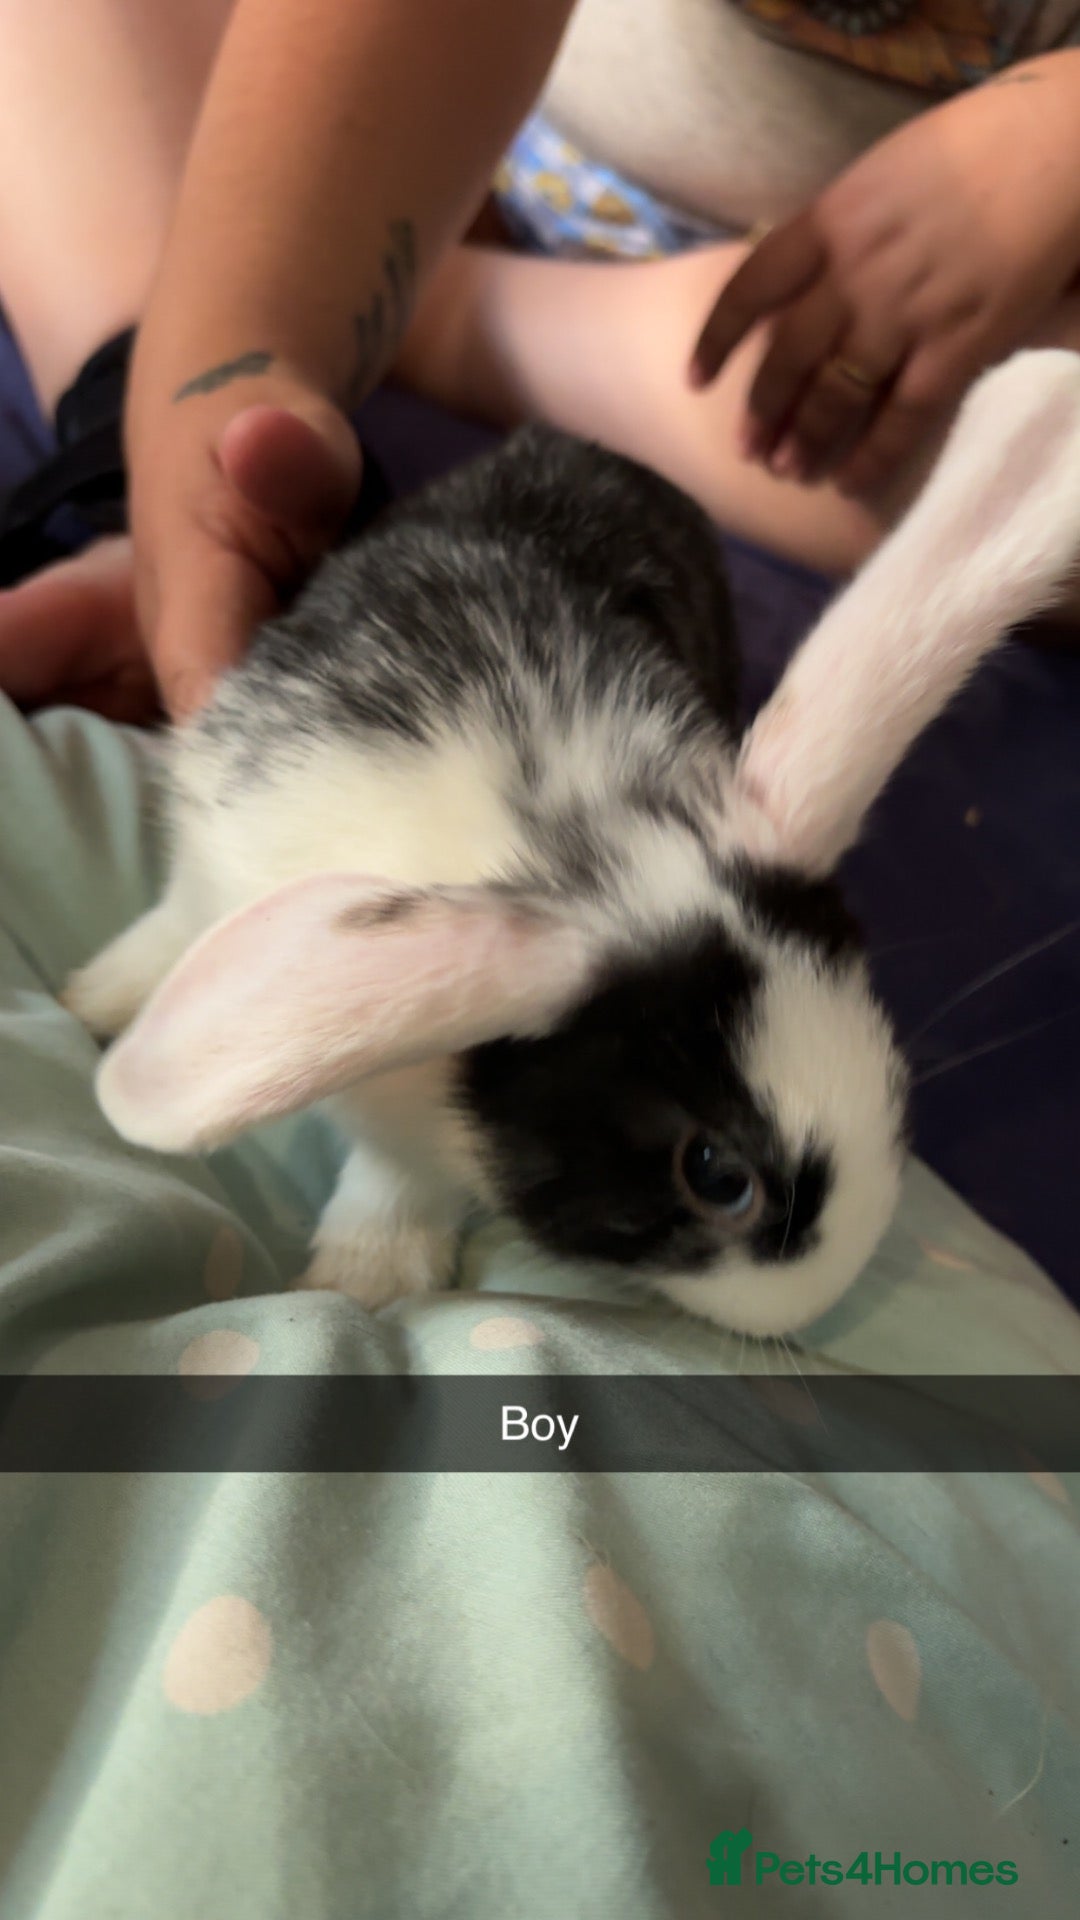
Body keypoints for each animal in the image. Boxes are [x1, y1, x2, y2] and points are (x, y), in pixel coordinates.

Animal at [63, 347, 1080, 1338]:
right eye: (716, 1175)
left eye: (893, 1072)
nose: (827, 1300)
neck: (560, 834)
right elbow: (189, 936)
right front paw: (100, 1007)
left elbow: (404, 1172)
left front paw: (368, 1275)